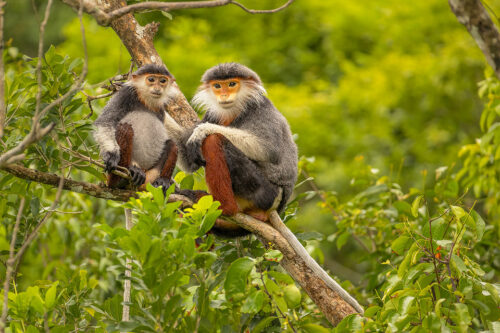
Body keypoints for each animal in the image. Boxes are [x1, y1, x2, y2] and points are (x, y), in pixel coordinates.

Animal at [164, 61, 296, 233]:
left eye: (232, 84)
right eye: (217, 86)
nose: (224, 95)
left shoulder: (262, 109)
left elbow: (268, 150)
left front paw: (203, 130)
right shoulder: (212, 114)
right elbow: (188, 160)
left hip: (265, 193)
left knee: (213, 140)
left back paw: (224, 207)